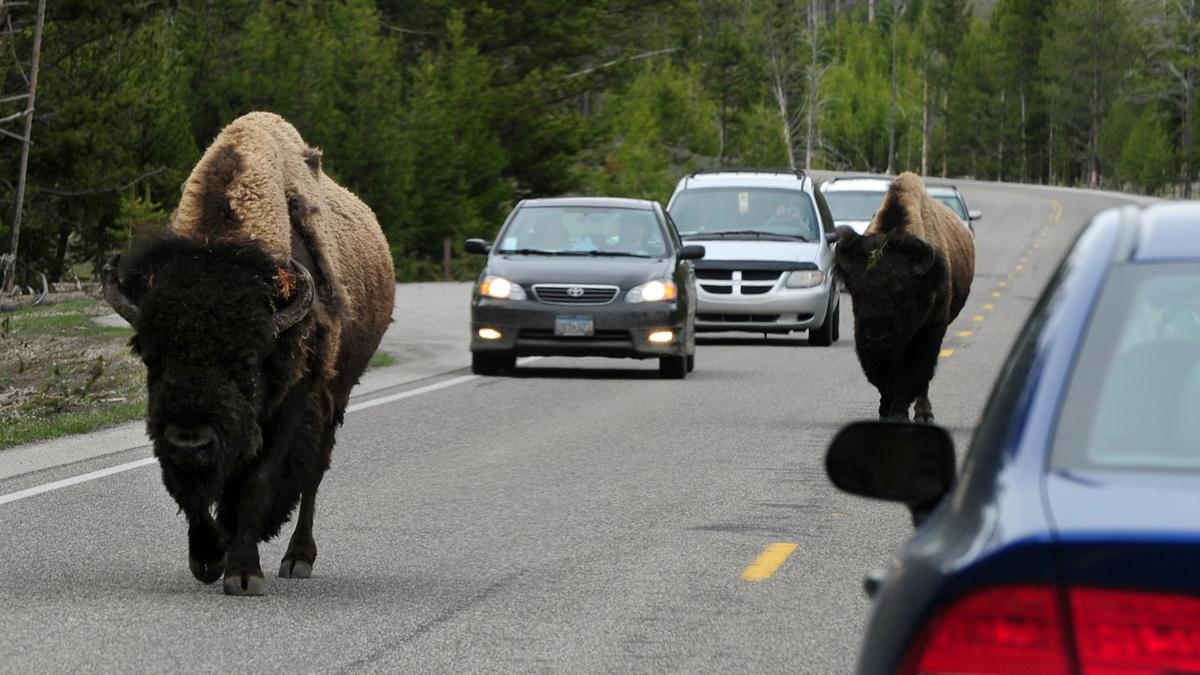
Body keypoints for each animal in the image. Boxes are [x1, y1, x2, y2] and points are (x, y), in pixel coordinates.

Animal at [102, 112, 395, 596]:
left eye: (245, 361)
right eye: (152, 359)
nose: (190, 442)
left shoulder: (291, 405)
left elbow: (257, 482)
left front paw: (243, 573)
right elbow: (193, 491)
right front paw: (207, 557)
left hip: (336, 397)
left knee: (313, 475)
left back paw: (298, 559)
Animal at [833, 172, 975, 422]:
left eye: (901, 293)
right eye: (856, 292)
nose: (875, 334)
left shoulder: (928, 333)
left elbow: (910, 375)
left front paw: (898, 414)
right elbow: (882, 379)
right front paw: (885, 411)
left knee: (924, 378)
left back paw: (923, 414)